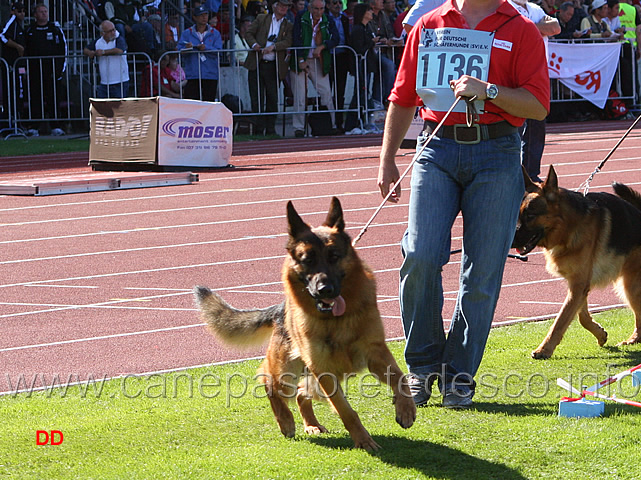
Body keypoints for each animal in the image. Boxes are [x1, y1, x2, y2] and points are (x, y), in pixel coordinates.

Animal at [195, 198, 416, 450]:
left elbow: (400, 378)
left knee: (301, 392)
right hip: (289, 372)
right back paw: (286, 421)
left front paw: (406, 410)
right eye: (307, 260)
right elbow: (347, 412)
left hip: (321, 379)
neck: (335, 321)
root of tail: (281, 309)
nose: (325, 290)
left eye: (334, 256)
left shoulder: (375, 353)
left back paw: (311, 424)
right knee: (268, 380)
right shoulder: (326, 373)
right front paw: (363, 440)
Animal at [512, 165, 640, 356]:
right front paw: (599, 333)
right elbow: (581, 316)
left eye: (530, 216)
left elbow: (560, 320)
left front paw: (544, 349)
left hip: (631, 286)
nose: (510, 242)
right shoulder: (578, 284)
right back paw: (633, 339)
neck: (568, 226)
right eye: (519, 216)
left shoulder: (578, 285)